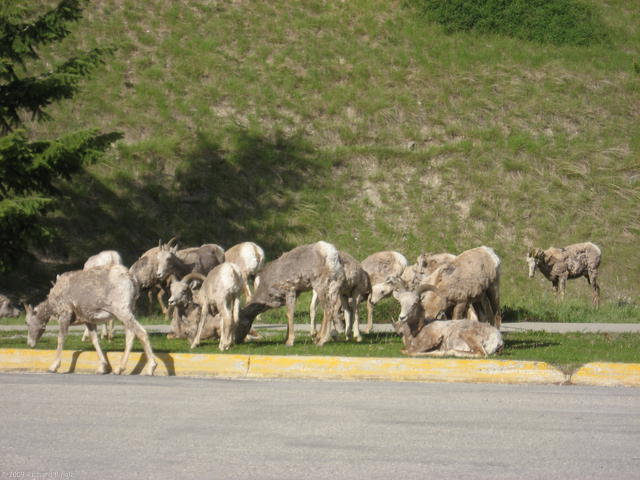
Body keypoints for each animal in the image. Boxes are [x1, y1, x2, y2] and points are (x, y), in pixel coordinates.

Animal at [24, 265, 157, 375]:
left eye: (27, 323)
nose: (30, 344)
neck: (52, 305)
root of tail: (132, 280)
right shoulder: (88, 320)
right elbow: (95, 340)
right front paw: (102, 368)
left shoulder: (65, 314)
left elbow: (61, 339)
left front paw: (53, 367)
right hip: (128, 311)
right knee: (130, 335)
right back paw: (119, 369)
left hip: (122, 310)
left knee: (142, 332)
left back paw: (151, 367)